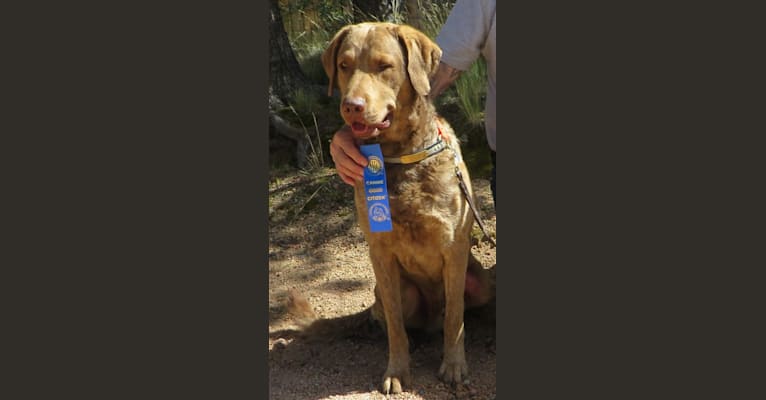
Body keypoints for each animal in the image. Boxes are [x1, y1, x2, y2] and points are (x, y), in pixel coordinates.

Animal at [322, 23, 492, 396]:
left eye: (384, 66)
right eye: (344, 65)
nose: (351, 106)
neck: (400, 156)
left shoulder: (454, 248)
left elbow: (455, 316)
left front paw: (454, 366)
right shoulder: (380, 252)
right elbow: (396, 324)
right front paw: (397, 370)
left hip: (479, 282)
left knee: (451, 314)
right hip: (401, 290)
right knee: (390, 315)